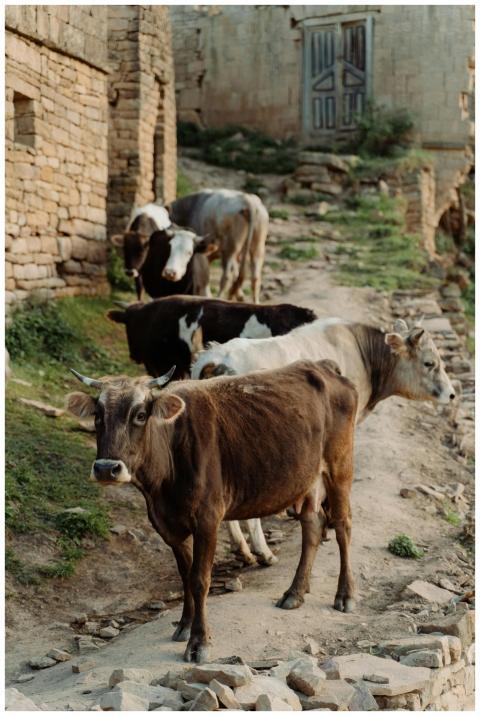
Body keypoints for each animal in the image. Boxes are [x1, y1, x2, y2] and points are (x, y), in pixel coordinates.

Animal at [67, 360, 358, 663]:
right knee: (312, 525)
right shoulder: (168, 525)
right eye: (98, 415)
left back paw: (345, 595)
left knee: (343, 525)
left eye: (140, 414)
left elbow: (200, 579)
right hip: (307, 478)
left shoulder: (207, 519)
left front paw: (199, 641)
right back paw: (294, 593)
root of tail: (320, 366)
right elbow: (185, 575)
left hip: (339, 467)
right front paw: (184, 626)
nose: (106, 468)